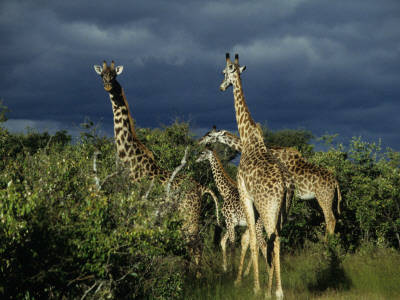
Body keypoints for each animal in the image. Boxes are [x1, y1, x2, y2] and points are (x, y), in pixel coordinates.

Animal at [93, 61, 219, 278]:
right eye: (102, 75)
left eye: (115, 76)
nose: (108, 86)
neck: (129, 160)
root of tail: (201, 188)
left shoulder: (138, 207)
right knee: (189, 245)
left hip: (189, 215)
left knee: (197, 244)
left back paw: (196, 278)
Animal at [195, 146, 268, 280]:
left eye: (202, 153)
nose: (196, 159)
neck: (226, 192)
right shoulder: (234, 224)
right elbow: (223, 241)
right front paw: (226, 268)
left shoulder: (229, 221)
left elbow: (232, 245)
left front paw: (232, 271)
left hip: (258, 225)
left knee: (263, 245)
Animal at [219, 54, 294, 298]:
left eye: (224, 72)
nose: (221, 87)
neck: (248, 136)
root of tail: (285, 185)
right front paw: (261, 287)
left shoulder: (244, 193)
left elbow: (250, 239)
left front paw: (254, 286)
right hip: (283, 211)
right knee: (275, 239)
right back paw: (274, 290)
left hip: (268, 208)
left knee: (272, 239)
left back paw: (277, 292)